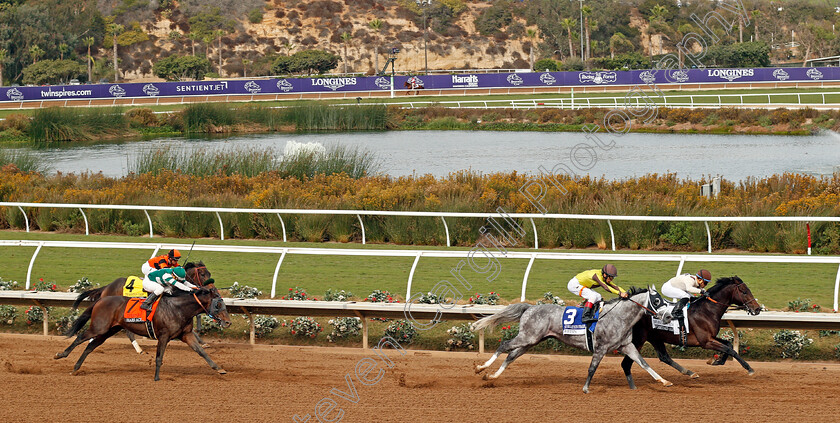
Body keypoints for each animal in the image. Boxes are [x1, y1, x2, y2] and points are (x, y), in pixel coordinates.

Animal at [55, 284, 230, 382]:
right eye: (218, 304)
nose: (228, 322)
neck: (178, 308)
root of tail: (101, 300)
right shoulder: (163, 336)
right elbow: (159, 357)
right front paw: (157, 378)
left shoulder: (186, 335)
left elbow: (201, 352)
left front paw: (219, 368)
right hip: (99, 327)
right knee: (80, 338)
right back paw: (60, 355)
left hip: (108, 331)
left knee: (90, 347)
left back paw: (76, 368)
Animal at [71, 262, 213, 354]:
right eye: (202, 273)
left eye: (209, 273)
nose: (212, 289)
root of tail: (107, 287)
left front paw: (203, 342)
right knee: (126, 332)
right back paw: (138, 349)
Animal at [472, 288, 676, 394]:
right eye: (657, 301)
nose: (668, 316)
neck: (618, 316)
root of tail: (529, 308)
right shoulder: (601, 348)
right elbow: (592, 368)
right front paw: (585, 388)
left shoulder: (627, 346)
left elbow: (644, 363)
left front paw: (665, 381)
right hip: (527, 337)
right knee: (504, 345)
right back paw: (481, 367)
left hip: (531, 341)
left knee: (511, 356)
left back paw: (491, 376)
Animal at [616, 274, 760, 388]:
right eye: (744, 292)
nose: (757, 309)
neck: (708, 310)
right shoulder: (705, 342)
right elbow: (730, 350)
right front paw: (749, 368)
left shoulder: (711, 337)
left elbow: (729, 345)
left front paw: (716, 361)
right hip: (639, 338)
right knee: (626, 363)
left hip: (655, 337)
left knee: (664, 357)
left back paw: (689, 373)